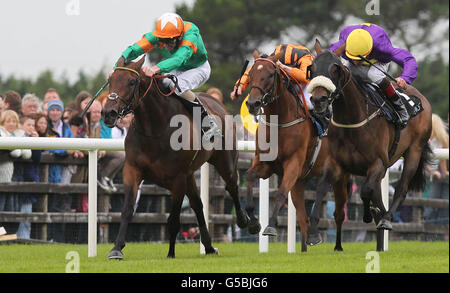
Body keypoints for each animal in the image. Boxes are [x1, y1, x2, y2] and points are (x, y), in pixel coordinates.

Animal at [103, 57, 256, 258]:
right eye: (110, 80)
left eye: (131, 82)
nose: (108, 113)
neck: (155, 128)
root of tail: (217, 103)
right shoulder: (132, 169)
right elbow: (128, 209)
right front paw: (116, 248)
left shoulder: (178, 178)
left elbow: (174, 219)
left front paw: (170, 253)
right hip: (191, 174)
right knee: (198, 204)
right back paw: (208, 246)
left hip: (225, 162)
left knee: (232, 187)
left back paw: (247, 221)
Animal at [244, 50, 350, 251]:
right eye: (251, 74)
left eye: (270, 74)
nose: (253, 104)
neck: (279, 122)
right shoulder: (265, 165)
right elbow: (249, 178)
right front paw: (253, 222)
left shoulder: (293, 164)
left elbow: (280, 193)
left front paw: (270, 226)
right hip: (301, 182)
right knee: (303, 219)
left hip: (339, 175)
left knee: (338, 211)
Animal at [310, 40, 432, 249]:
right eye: (312, 68)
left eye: (336, 69)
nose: (318, 100)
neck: (352, 120)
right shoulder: (336, 165)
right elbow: (320, 189)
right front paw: (312, 233)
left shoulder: (378, 164)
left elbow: (366, 191)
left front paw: (369, 215)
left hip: (414, 152)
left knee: (401, 188)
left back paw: (386, 218)